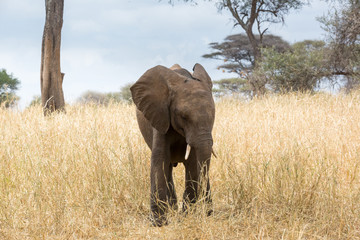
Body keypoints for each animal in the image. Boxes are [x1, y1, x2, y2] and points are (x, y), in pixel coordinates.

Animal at [131, 62, 217, 226]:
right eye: (183, 116)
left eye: (213, 115)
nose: (207, 212)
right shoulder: (161, 116)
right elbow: (160, 159)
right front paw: (158, 223)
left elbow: (193, 162)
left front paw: (186, 216)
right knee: (168, 167)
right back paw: (172, 209)